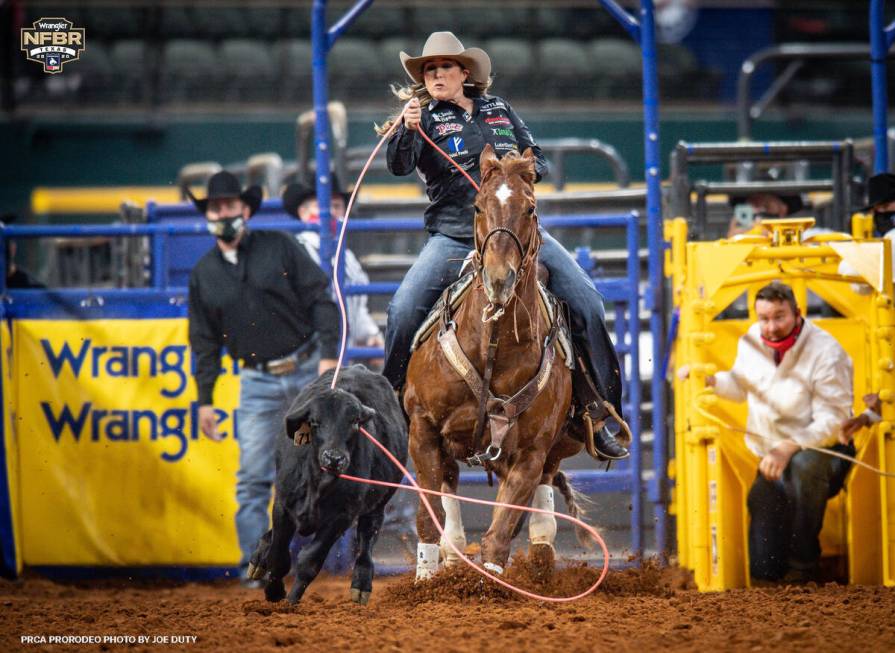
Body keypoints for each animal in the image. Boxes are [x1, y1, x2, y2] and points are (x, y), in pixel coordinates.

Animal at [406, 144, 588, 576]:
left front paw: (488, 581)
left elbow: (499, 534)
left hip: (554, 446)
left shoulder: (530, 452)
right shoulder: (423, 426)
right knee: (448, 485)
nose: (499, 279)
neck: (493, 349)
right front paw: (425, 578)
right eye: (477, 206)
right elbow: (428, 514)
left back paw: (541, 554)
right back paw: (453, 553)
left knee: (544, 494)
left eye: (531, 208)